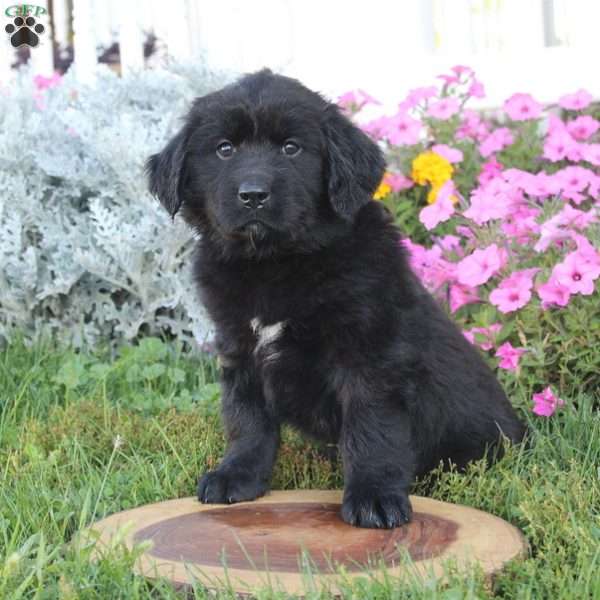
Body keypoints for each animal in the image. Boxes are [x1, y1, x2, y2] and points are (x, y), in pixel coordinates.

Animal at [146, 71, 524, 528]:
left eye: (291, 148)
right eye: (224, 149)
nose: (253, 194)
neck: (275, 263)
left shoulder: (369, 354)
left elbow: (370, 428)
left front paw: (374, 497)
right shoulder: (238, 347)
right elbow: (246, 420)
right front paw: (236, 476)